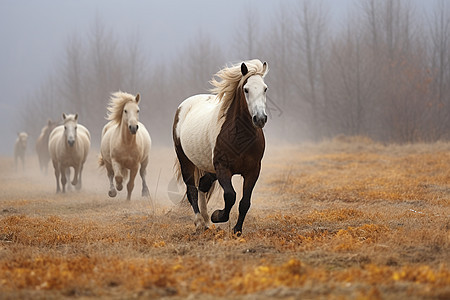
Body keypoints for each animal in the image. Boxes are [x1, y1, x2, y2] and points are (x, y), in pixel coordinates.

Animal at [173, 58, 268, 236]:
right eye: (246, 89)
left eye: (265, 88)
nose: (260, 118)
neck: (240, 137)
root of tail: (183, 107)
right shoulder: (223, 168)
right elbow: (230, 196)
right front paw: (217, 215)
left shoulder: (253, 170)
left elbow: (245, 202)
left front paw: (237, 230)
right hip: (186, 161)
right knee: (192, 190)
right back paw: (199, 223)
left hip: (209, 168)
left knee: (202, 185)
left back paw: (206, 221)